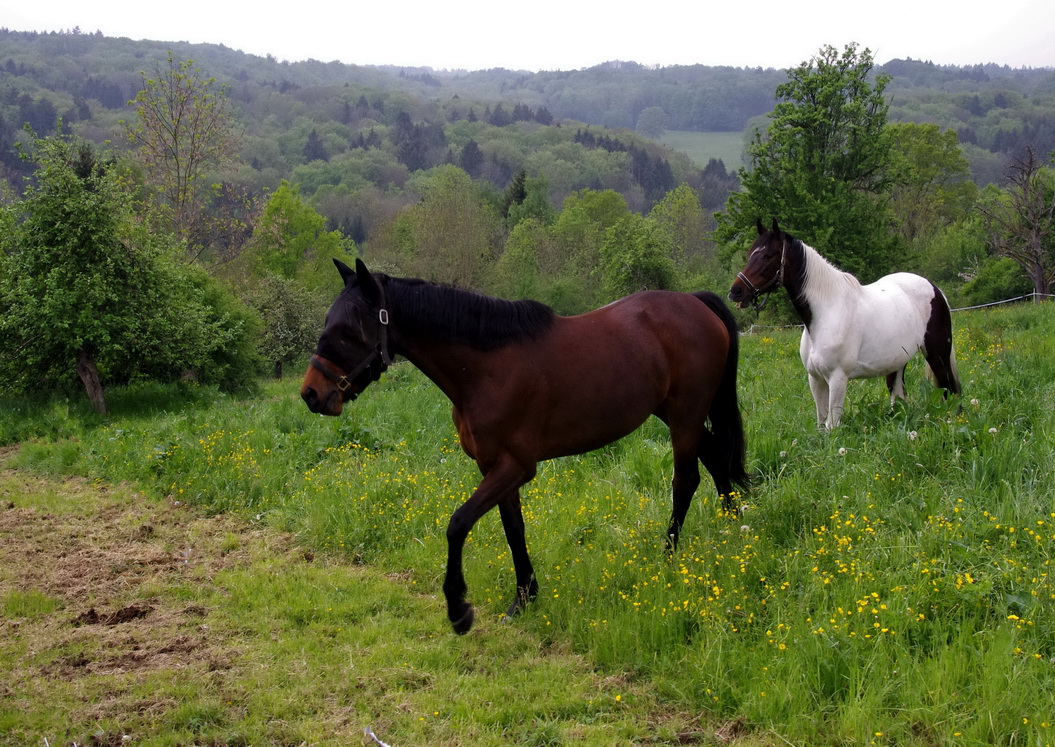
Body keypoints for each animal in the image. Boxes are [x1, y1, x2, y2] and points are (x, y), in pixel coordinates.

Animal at [303, 259, 751, 633]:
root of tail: (696, 303)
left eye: (346, 332)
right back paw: (734, 532)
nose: (311, 394)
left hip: (685, 415)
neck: (484, 368)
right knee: (717, 460)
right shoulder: (493, 467)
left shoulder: (516, 467)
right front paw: (525, 597)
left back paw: (668, 557)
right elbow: (513, 529)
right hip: (673, 413)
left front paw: (459, 609)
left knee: (686, 480)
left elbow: (458, 523)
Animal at [730, 220, 962, 426]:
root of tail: (935, 289)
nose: (736, 291)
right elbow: (821, 423)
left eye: (768, 255)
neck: (826, 312)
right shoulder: (815, 379)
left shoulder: (837, 379)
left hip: (938, 355)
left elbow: (832, 425)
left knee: (950, 389)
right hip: (897, 362)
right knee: (899, 395)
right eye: (749, 254)